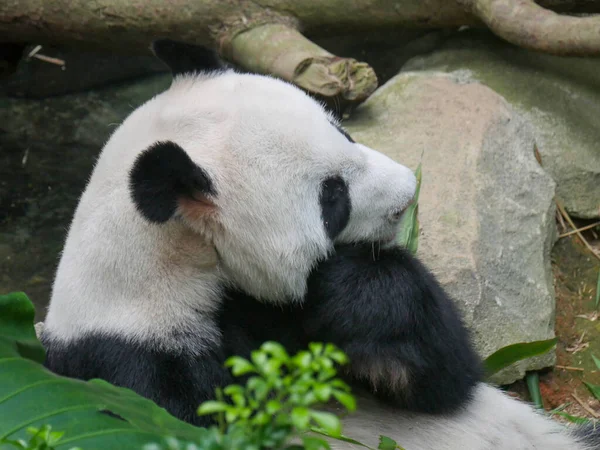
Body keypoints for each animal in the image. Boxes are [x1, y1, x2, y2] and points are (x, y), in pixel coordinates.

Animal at [39, 39, 596, 450]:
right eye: (334, 199)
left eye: (343, 131)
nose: (407, 197)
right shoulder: (132, 372)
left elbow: (445, 380)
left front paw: (355, 293)